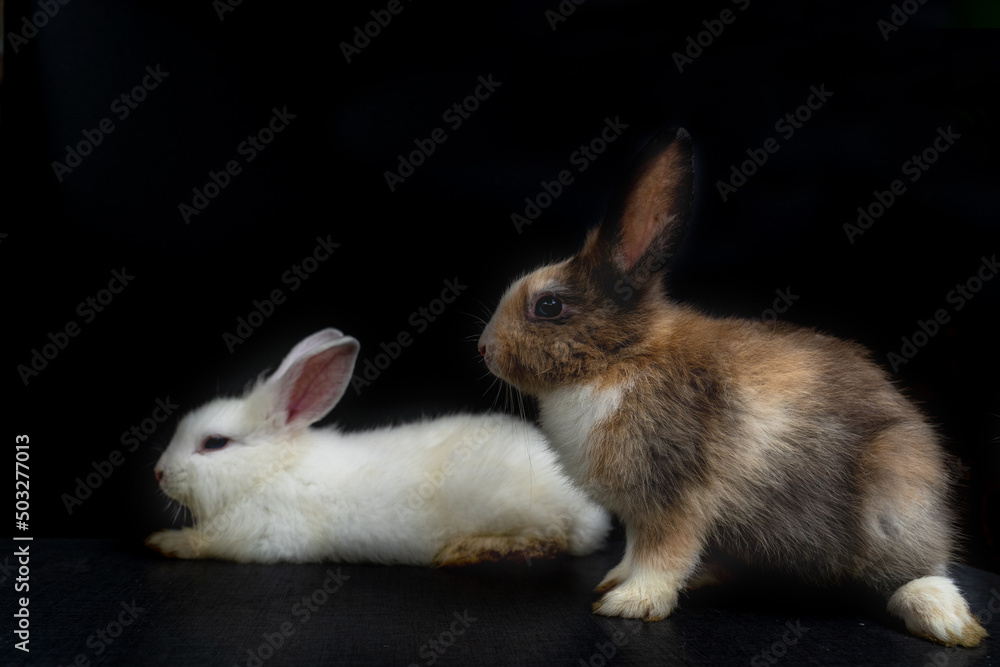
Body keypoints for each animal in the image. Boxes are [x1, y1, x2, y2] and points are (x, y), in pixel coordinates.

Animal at [146, 328, 610, 567]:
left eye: (214, 443)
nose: (158, 473)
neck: (270, 469)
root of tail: (589, 511)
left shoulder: (262, 534)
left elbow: (208, 543)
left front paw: (165, 541)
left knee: (549, 540)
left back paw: (466, 551)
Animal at [477, 127, 988, 647]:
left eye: (549, 306)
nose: (484, 349)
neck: (619, 357)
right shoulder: (642, 513)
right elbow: (636, 551)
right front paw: (614, 582)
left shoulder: (674, 500)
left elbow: (662, 555)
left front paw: (631, 603)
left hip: (895, 503)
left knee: (921, 568)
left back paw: (943, 619)